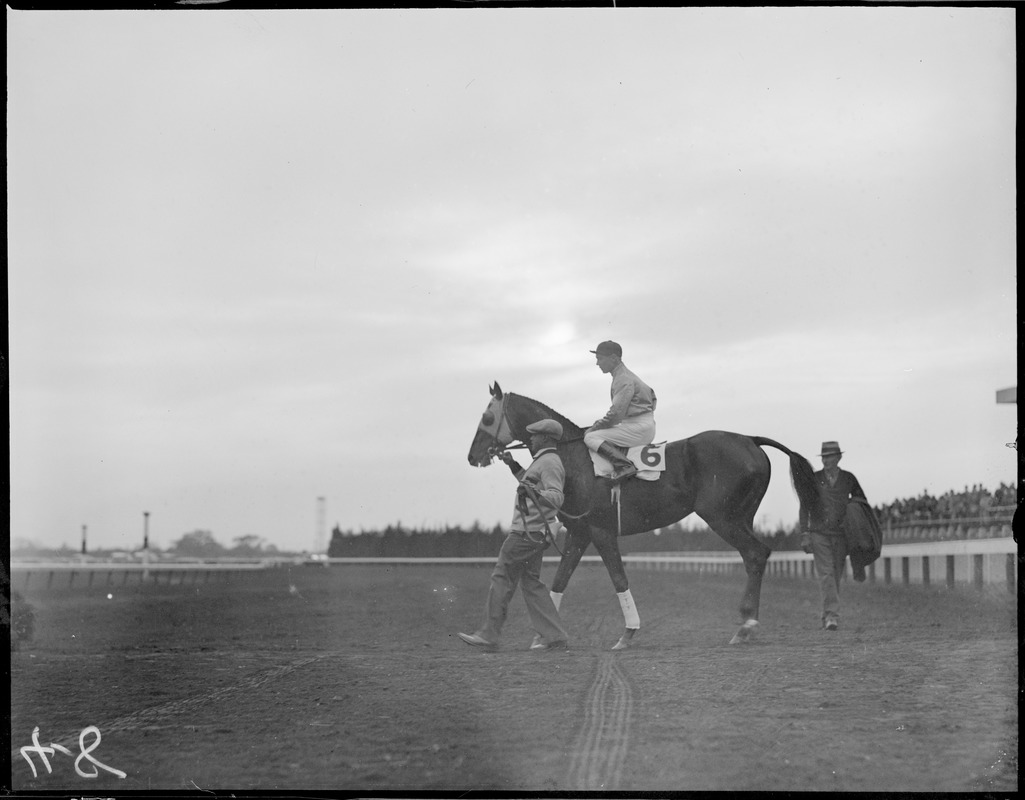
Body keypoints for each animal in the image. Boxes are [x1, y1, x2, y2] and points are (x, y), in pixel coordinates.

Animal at [469, 383, 820, 648]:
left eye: (486, 417)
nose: (473, 456)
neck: (573, 459)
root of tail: (750, 439)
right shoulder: (579, 533)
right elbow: (560, 580)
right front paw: (543, 636)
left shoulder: (601, 531)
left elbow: (619, 579)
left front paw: (627, 634)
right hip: (741, 517)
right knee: (753, 556)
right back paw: (746, 625)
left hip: (722, 517)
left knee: (757, 553)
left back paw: (746, 625)